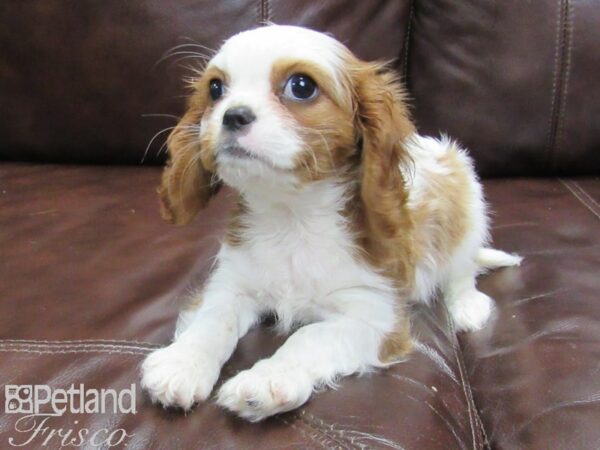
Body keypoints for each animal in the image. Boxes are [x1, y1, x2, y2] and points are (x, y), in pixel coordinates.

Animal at [141, 25, 520, 422]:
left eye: (301, 86)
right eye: (215, 89)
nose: (233, 115)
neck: (292, 216)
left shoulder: (374, 316)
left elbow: (308, 338)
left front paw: (268, 380)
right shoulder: (230, 285)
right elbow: (214, 320)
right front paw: (182, 364)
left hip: (466, 191)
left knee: (462, 269)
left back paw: (467, 307)